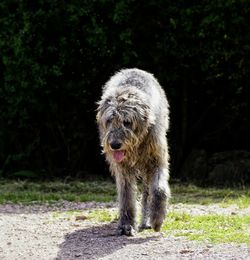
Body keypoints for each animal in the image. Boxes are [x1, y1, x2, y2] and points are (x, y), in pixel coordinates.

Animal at [95, 68, 170, 236]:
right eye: (109, 120)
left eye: (127, 122)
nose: (115, 145)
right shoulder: (123, 167)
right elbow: (126, 194)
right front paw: (126, 224)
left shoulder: (156, 159)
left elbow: (159, 189)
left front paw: (157, 219)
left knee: (148, 191)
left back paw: (146, 220)